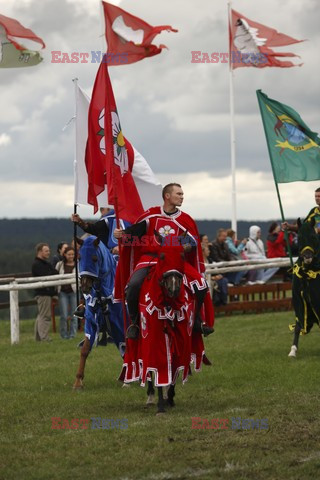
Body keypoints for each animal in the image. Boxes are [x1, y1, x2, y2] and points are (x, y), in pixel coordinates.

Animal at [73, 236, 125, 390]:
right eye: (79, 257)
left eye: (95, 258)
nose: (85, 286)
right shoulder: (91, 321)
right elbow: (85, 349)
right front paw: (78, 381)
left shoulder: (120, 322)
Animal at [119, 246, 206, 414]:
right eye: (162, 257)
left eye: (182, 256)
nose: (174, 288)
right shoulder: (153, 338)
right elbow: (158, 366)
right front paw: (160, 405)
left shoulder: (182, 338)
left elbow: (176, 367)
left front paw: (169, 397)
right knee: (145, 368)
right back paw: (151, 397)